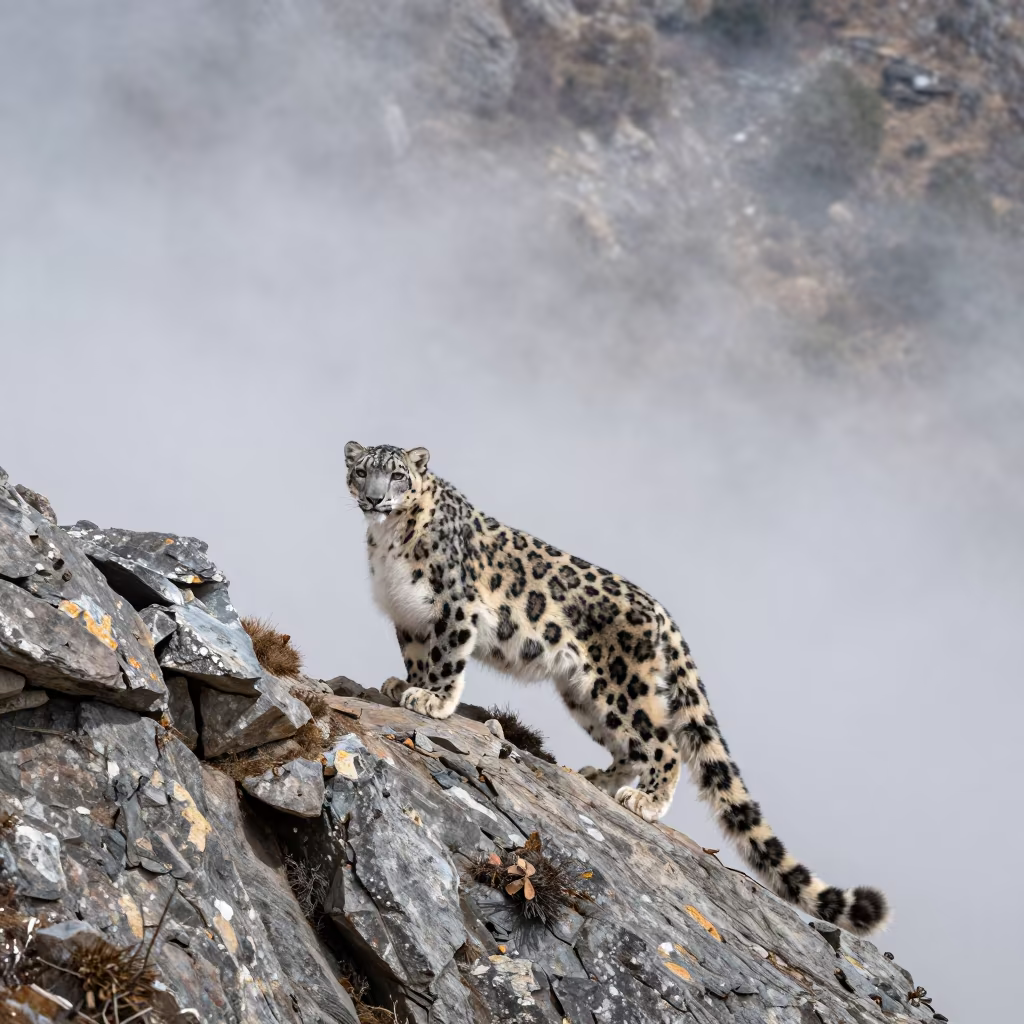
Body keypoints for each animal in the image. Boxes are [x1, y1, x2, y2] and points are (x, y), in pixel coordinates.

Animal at [345, 441, 889, 935]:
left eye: (397, 475)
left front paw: (432, 700)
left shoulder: (455, 609)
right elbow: (418, 658)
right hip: (585, 696)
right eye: (361, 471)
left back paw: (645, 800)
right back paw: (598, 778)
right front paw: (404, 685)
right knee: (631, 747)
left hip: (622, 684)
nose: (374, 498)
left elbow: (445, 660)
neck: (387, 540)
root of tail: (660, 612)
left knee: (664, 742)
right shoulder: (409, 618)